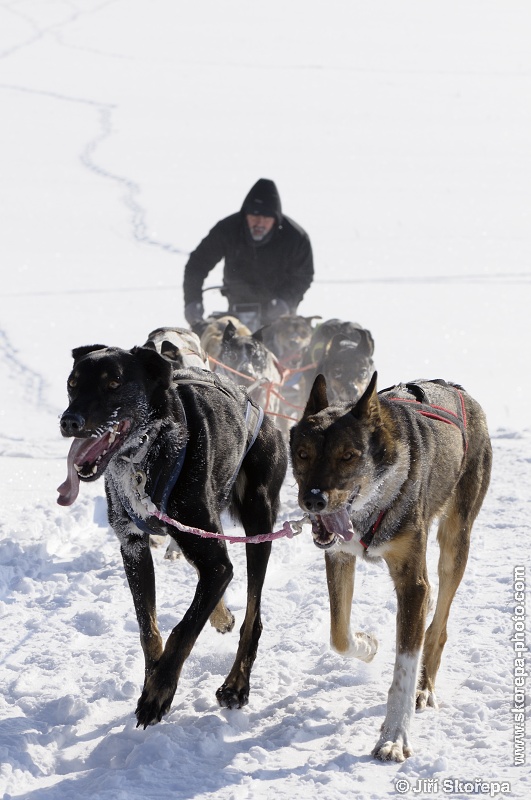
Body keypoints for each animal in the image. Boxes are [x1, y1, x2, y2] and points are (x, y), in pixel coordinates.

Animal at [57, 342, 286, 724]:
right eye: (72, 384)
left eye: (113, 383)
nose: (69, 421)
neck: (146, 456)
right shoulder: (133, 546)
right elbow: (148, 628)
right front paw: (152, 677)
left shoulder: (216, 563)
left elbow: (184, 629)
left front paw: (159, 692)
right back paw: (220, 614)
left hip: (258, 523)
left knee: (252, 618)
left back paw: (236, 684)